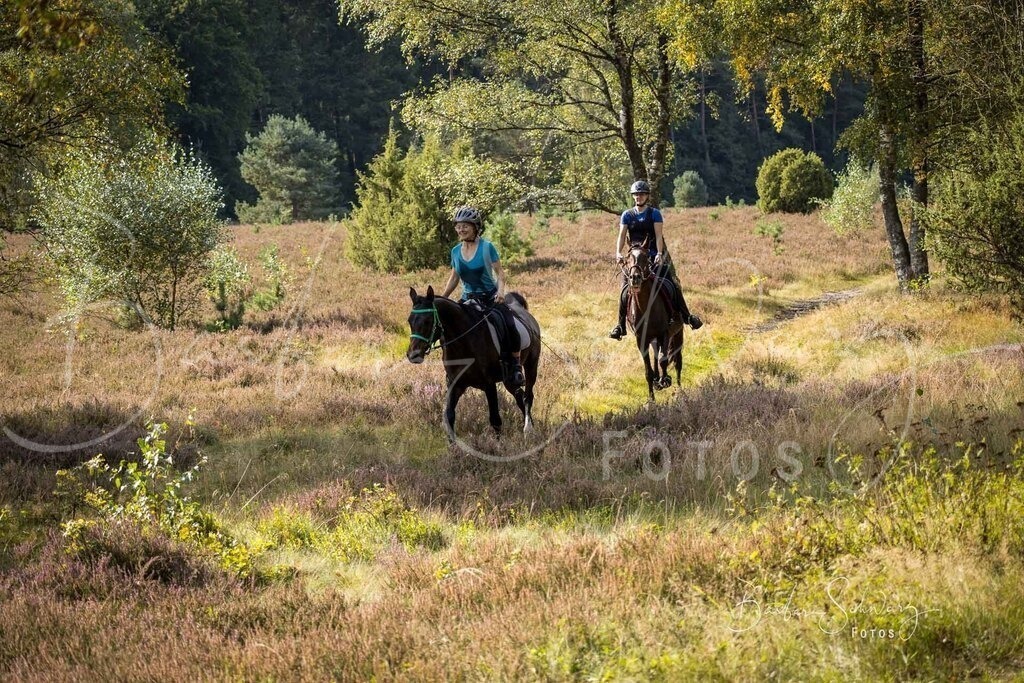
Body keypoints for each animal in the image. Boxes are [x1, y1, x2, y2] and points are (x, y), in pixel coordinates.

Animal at [406, 286, 541, 441]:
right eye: (409, 321)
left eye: (428, 321)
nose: (413, 355)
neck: (463, 342)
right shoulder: (455, 383)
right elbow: (449, 416)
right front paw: (453, 446)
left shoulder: (489, 384)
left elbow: (495, 419)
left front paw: (499, 445)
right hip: (508, 380)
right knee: (519, 396)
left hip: (531, 365)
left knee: (527, 396)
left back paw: (528, 430)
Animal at [621, 243, 683, 401]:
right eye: (627, 258)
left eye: (645, 257)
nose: (635, 277)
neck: (645, 306)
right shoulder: (641, 340)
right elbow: (648, 371)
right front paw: (652, 399)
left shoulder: (665, 334)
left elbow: (663, 360)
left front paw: (665, 380)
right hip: (654, 340)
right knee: (656, 355)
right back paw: (657, 380)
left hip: (678, 334)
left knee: (678, 362)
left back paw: (679, 391)